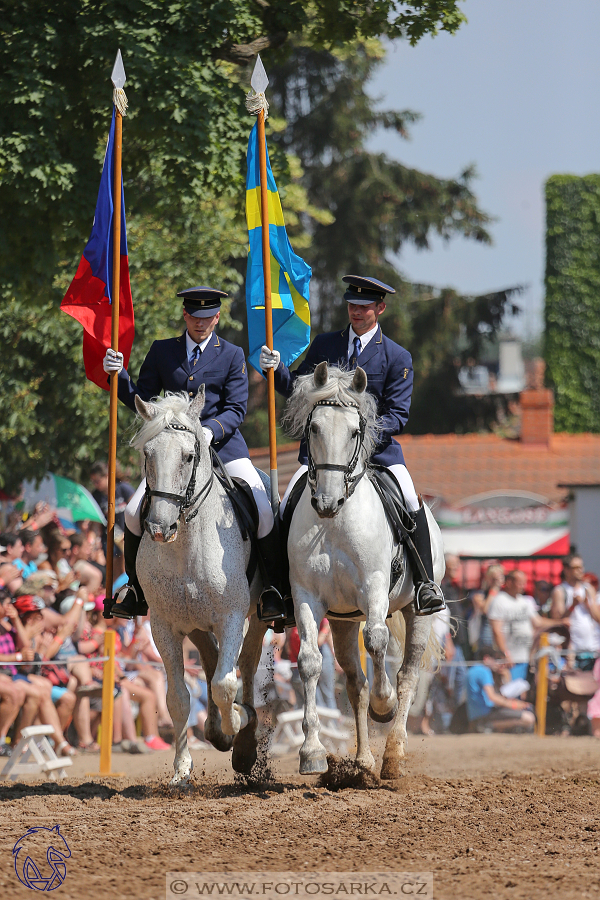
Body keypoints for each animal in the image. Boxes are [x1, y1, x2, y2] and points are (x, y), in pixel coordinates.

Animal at [131, 390, 268, 784]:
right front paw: (181, 770)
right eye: (147, 454)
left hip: (257, 615)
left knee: (246, 664)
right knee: (210, 659)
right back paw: (217, 733)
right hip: (191, 621)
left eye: (188, 456)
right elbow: (177, 698)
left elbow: (225, 685)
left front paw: (239, 719)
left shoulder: (232, 617)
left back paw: (243, 740)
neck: (186, 546)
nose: (159, 528)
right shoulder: (163, 625)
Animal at [284, 362, 442, 776]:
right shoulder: (306, 596)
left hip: (418, 612)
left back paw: (395, 752)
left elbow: (376, 640)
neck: (335, 522)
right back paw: (364, 760)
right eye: (313, 427)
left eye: (356, 431)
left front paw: (384, 706)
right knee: (355, 684)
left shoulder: (373, 587)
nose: (326, 501)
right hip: (341, 622)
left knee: (407, 674)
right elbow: (309, 661)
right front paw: (311, 752)